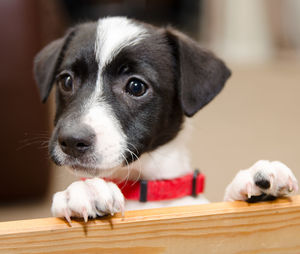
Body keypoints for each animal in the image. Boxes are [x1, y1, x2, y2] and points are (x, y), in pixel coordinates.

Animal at [33, 16, 298, 221]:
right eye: (66, 81)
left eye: (136, 86)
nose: (71, 141)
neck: (145, 189)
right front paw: (87, 189)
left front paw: (257, 180)